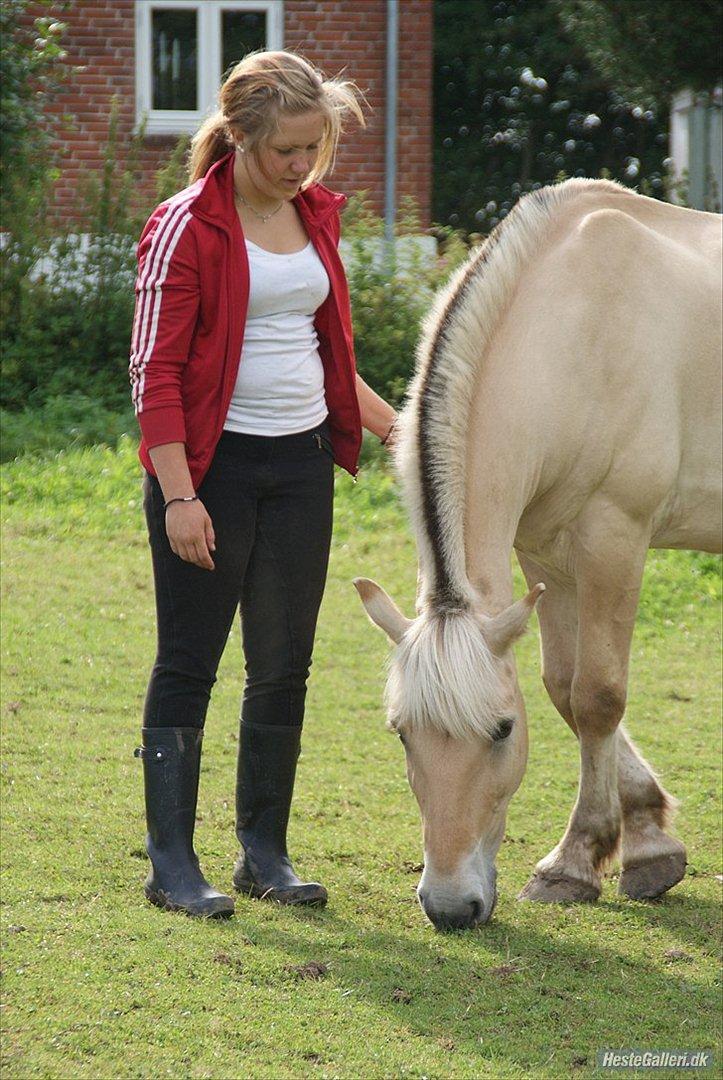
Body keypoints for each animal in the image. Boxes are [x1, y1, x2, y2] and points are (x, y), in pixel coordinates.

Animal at [352, 174, 717, 928]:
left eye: (499, 731)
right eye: (401, 734)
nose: (449, 906)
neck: (578, 332)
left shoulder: (614, 537)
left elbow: (599, 695)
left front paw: (575, 861)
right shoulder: (546, 553)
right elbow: (562, 686)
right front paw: (643, 840)